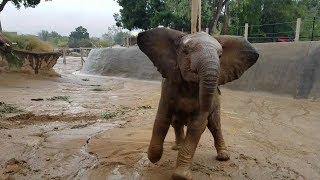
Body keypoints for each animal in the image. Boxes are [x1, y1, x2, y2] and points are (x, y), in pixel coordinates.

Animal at [137, 27, 258, 179]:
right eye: (186, 51)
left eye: (220, 56)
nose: (217, 91)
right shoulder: (168, 87)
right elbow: (162, 119)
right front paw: (154, 158)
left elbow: (196, 126)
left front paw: (181, 176)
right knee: (176, 122)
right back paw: (177, 147)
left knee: (215, 125)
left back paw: (223, 157)